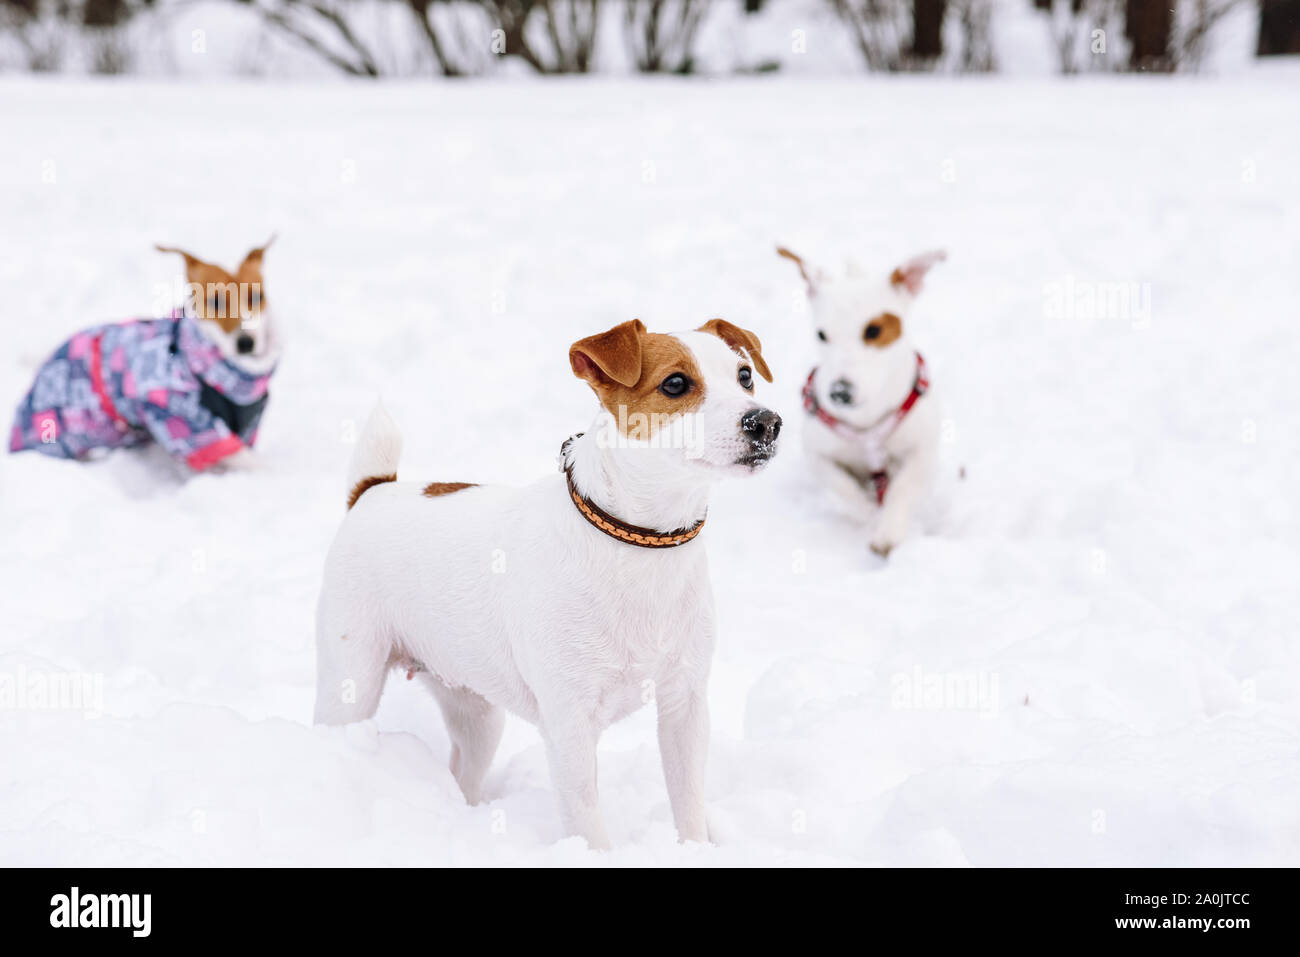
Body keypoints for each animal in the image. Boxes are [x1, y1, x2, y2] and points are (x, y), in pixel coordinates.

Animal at [312, 317, 780, 847]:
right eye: (676, 383)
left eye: (745, 376)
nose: (766, 422)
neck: (641, 545)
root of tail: (372, 492)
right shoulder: (570, 723)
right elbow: (586, 819)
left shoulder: (684, 705)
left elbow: (688, 802)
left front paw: (694, 849)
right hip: (351, 680)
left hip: (476, 711)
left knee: (464, 770)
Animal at [769, 247, 946, 556]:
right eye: (821, 334)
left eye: (874, 331)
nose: (839, 392)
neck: (867, 419)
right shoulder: (817, 453)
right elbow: (842, 487)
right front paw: (868, 514)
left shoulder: (922, 449)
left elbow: (904, 487)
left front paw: (888, 531)